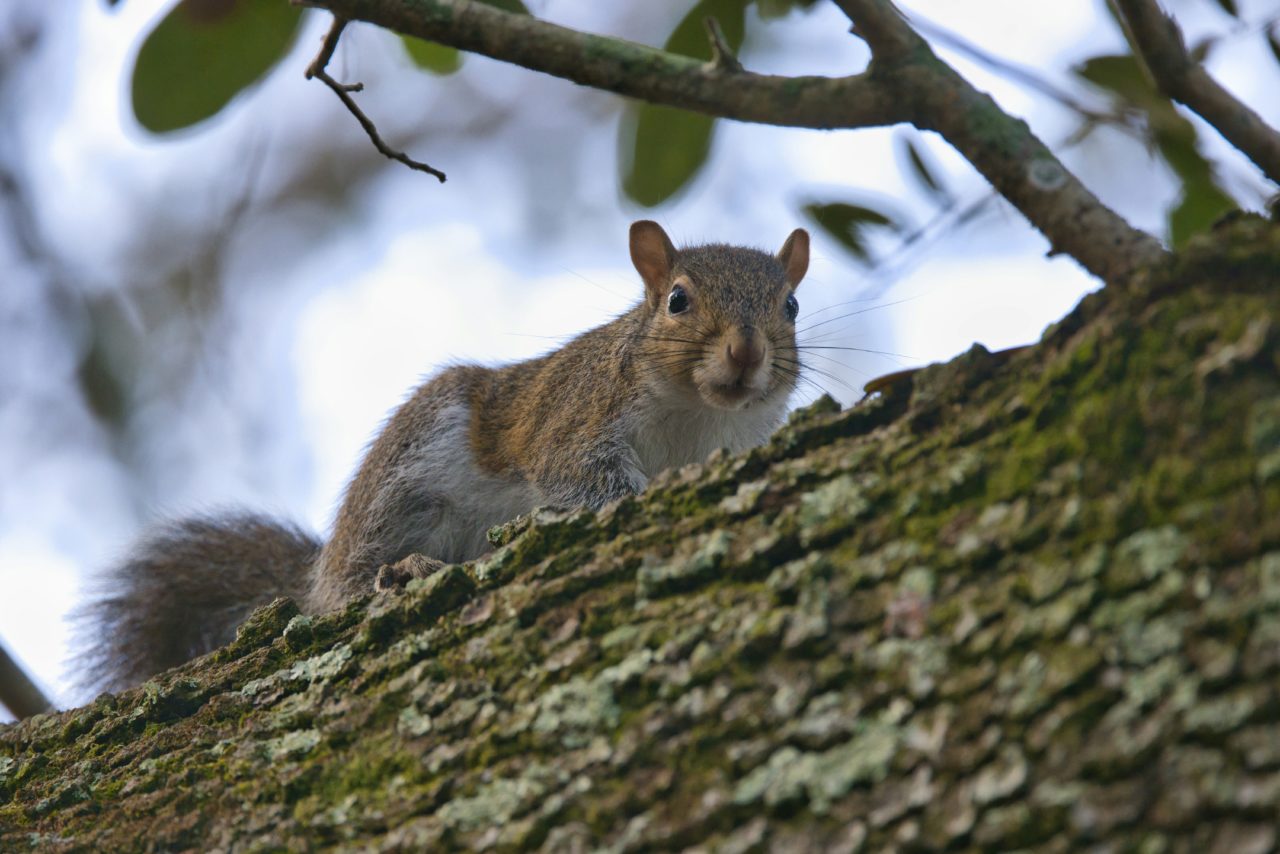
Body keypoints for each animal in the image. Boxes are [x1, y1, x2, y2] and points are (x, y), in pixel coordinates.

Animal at [77, 222, 808, 696]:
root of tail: (317, 575)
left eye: (792, 305)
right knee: (351, 588)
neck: (697, 415)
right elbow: (583, 478)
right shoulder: (574, 424)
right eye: (678, 300)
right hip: (409, 481)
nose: (745, 352)